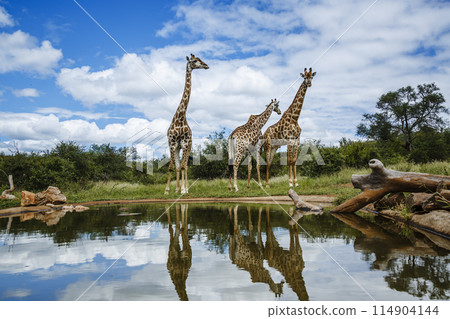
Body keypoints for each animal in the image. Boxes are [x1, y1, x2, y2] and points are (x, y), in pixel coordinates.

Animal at [163, 53, 209, 195]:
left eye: (200, 60)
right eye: (194, 61)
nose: (206, 65)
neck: (180, 117)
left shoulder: (184, 143)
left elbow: (183, 166)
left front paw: (183, 189)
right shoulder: (172, 143)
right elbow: (172, 166)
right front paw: (168, 190)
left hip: (188, 146)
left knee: (185, 166)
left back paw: (185, 188)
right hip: (178, 147)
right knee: (179, 166)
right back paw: (177, 189)